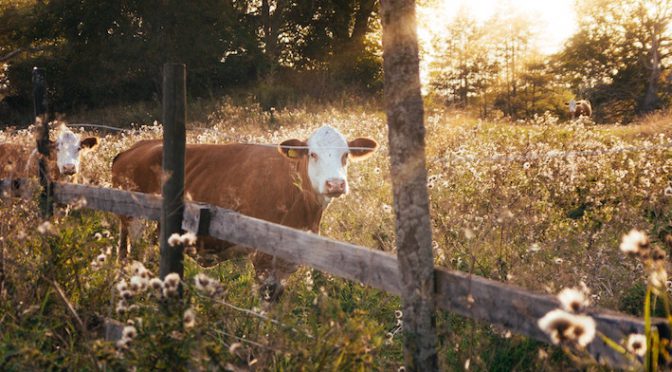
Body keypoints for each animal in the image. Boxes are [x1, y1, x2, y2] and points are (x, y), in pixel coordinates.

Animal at [113, 126, 380, 300]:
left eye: (346, 154)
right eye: (312, 154)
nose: (335, 184)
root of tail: (135, 147)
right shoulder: (262, 256)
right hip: (135, 221)